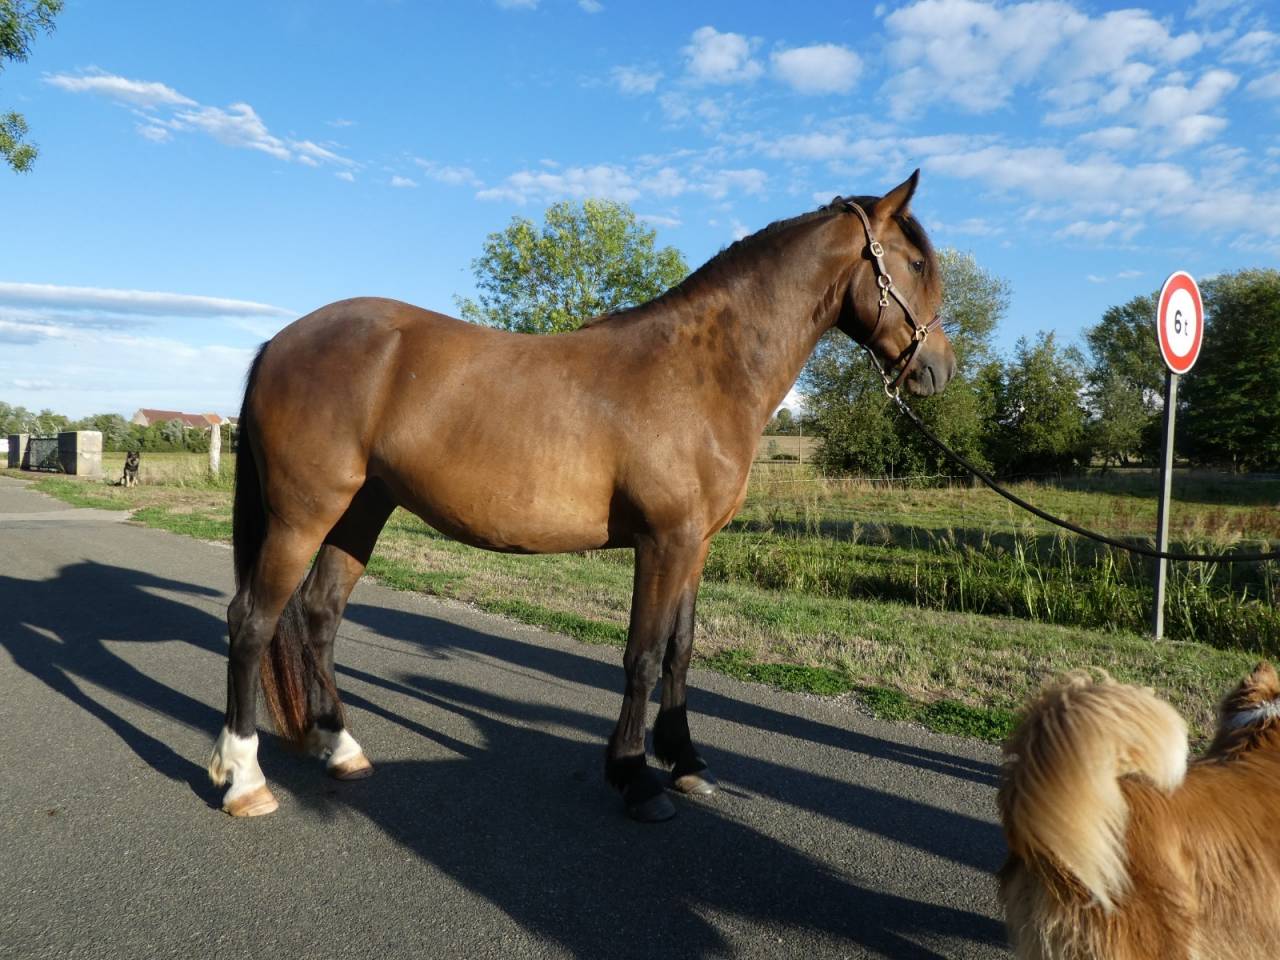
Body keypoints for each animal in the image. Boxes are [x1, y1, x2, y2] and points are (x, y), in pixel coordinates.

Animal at [208, 170, 956, 822]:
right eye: (917, 263)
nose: (938, 370)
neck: (703, 370)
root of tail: (280, 340)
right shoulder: (663, 541)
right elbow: (642, 656)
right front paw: (635, 777)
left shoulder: (695, 545)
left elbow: (682, 650)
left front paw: (687, 764)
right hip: (303, 516)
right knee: (252, 621)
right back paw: (244, 779)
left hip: (360, 512)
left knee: (319, 616)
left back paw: (341, 748)